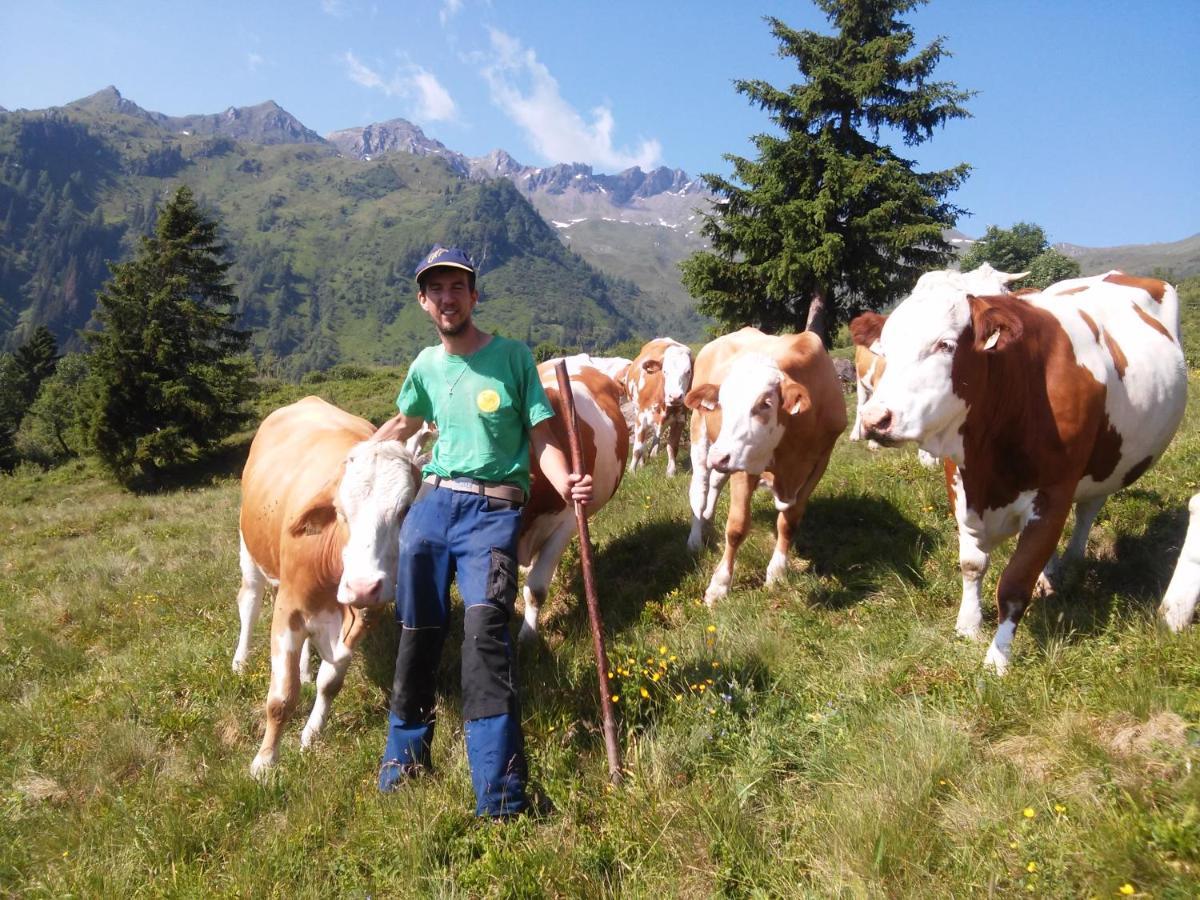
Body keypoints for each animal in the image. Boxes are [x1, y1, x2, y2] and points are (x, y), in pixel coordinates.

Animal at [234, 398, 422, 777]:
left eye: (405, 509)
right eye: (340, 511)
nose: (363, 585)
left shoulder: (362, 616)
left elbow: (331, 682)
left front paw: (310, 734)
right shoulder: (288, 610)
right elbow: (281, 698)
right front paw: (264, 762)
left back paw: (305, 669)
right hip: (249, 550)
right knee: (249, 601)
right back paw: (240, 661)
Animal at [628, 338, 696, 480]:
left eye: (688, 372)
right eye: (665, 371)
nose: (675, 396)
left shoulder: (680, 420)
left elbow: (673, 447)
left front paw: (670, 472)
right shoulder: (641, 417)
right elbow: (638, 448)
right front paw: (632, 472)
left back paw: (653, 452)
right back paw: (642, 462)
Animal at [686, 328, 844, 607]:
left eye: (765, 404)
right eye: (722, 403)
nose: (719, 457)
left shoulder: (819, 463)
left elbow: (789, 521)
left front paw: (777, 572)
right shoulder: (744, 464)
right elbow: (737, 527)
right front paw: (719, 586)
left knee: (715, 483)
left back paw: (708, 522)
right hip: (701, 434)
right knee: (701, 490)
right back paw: (695, 539)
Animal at [859, 271, 1185, 672]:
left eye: (945, 345)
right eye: (884, 350)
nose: (874, 419)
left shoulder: (1053, 493)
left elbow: (1015, 583)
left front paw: (997, 659)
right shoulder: (960, 482)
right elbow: (972, 563)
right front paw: (968, 625)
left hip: (1107, 463)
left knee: (1088, 509)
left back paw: (1071, 561)